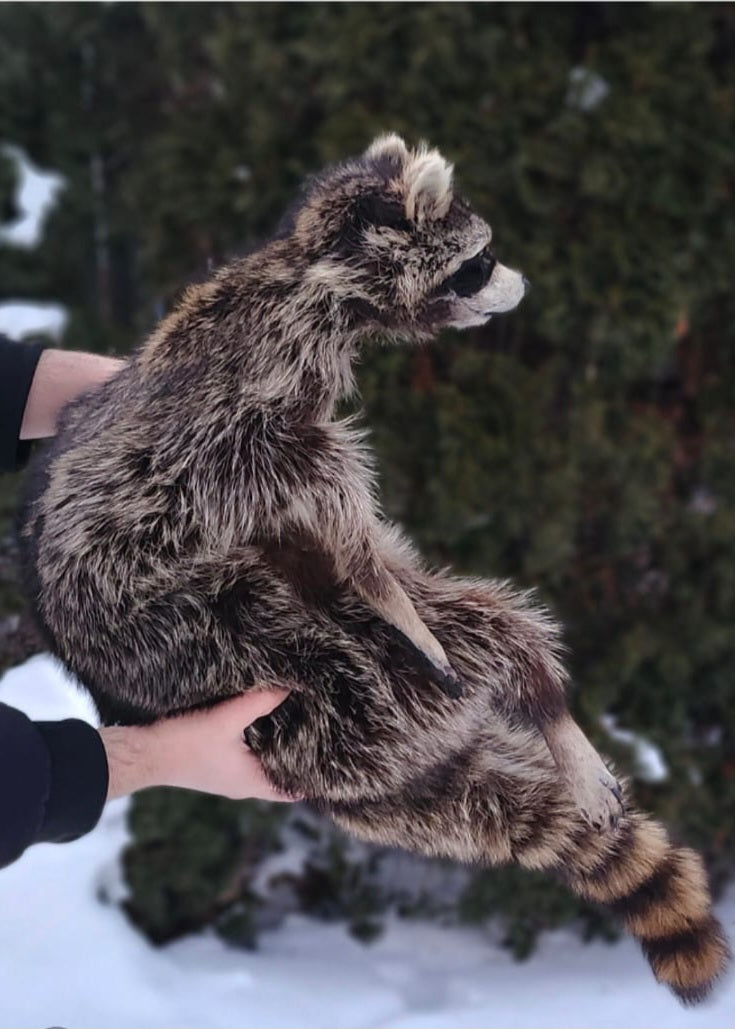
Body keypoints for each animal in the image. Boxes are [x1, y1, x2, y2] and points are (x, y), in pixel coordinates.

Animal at [18, 134, 729, 1001]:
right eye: (480, 261)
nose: (526, 284)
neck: (311, 281)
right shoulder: (249, 438)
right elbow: (346, 535)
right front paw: (387, 595)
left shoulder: (277, 444)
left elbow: (347, 546)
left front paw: (413, 609)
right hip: (181, 633)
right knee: (321, 656)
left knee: (487, 627)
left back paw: (549, 713)